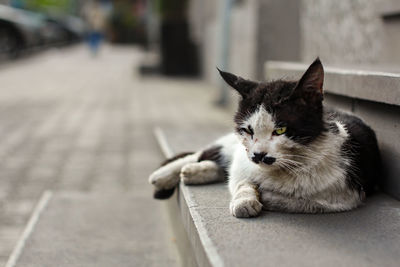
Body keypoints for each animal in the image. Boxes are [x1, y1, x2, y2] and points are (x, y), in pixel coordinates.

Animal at [148, 58, 382, 218]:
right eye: (248, 130)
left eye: (280, 130)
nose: (258, 155)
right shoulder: (243, 161)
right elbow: (241, 180)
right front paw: (245, 200)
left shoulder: (345, 195)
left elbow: (303, 201)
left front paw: (266, 196)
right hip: (231, 147)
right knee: (206, 152)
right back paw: (167, 174)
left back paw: (195, 172)